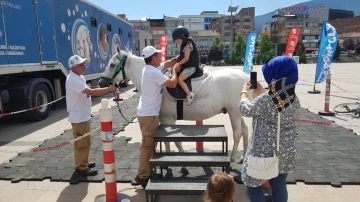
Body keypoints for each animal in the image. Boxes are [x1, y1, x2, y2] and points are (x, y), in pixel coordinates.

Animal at [98, 45, 250, 170]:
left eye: (112, 65)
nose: (101, 82)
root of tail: (246, 77)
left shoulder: (169, 119)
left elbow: (176, 141)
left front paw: (183, 165)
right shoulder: (164, 120)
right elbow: (165, 140)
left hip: (234, 112)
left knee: (237, 134)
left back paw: (232, 159)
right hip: (237, 112)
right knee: (245, 131)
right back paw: (243, 158)